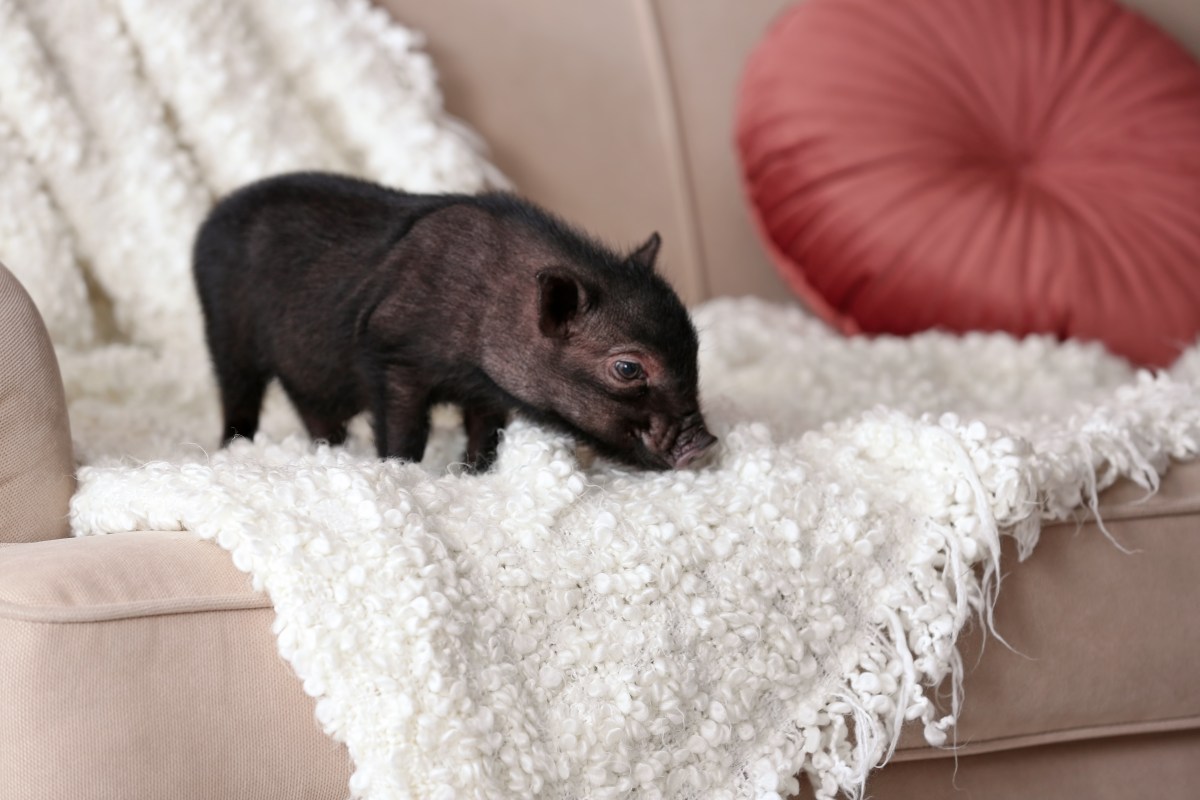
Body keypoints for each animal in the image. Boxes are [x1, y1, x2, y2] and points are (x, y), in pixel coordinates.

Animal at [188, 172, 710, 472]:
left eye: (695, 349)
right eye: (627, 368)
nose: (705, 444)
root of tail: (211, 217)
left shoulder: (486, 391)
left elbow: (485, 434)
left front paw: (475, 473)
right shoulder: (391, 355)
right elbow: (405, 432)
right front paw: (401, 472)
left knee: (311, 406)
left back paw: (331, 450)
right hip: (224, 333)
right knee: (238, 397)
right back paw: (233, 449)